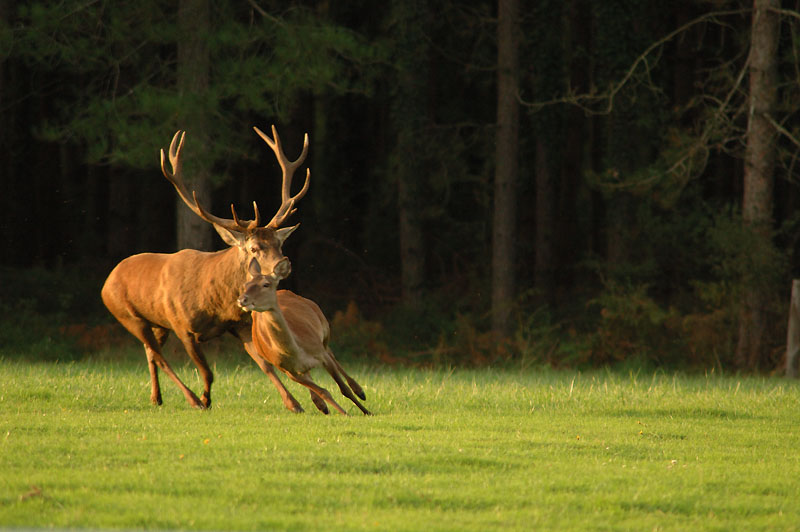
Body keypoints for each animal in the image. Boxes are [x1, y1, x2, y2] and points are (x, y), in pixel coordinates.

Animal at [101, 125, 312, 412]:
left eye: (279, 243)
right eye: (254, 247)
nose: (283, 264)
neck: (217, 302)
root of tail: (109, 278)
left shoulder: (241, 324)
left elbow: (266, 365)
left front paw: (294, 403)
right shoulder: (183, 326)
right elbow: (208, 371)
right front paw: (204, 399)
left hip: (157, 323)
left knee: (150, 353)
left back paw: (156, 397)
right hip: (128, 316)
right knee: (159, 356)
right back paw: (189, 398)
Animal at [238, 258, 372, 416]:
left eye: (266, 284)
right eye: (246, 285)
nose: (242, 299)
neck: (294, 351)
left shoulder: (320, 353)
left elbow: (344, 388)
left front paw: (366, 411)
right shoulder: (289, 372)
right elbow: (324, 392)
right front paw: (343, 413)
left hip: (324, 329)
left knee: (331, 353)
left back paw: (360, 391)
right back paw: (322, 405)